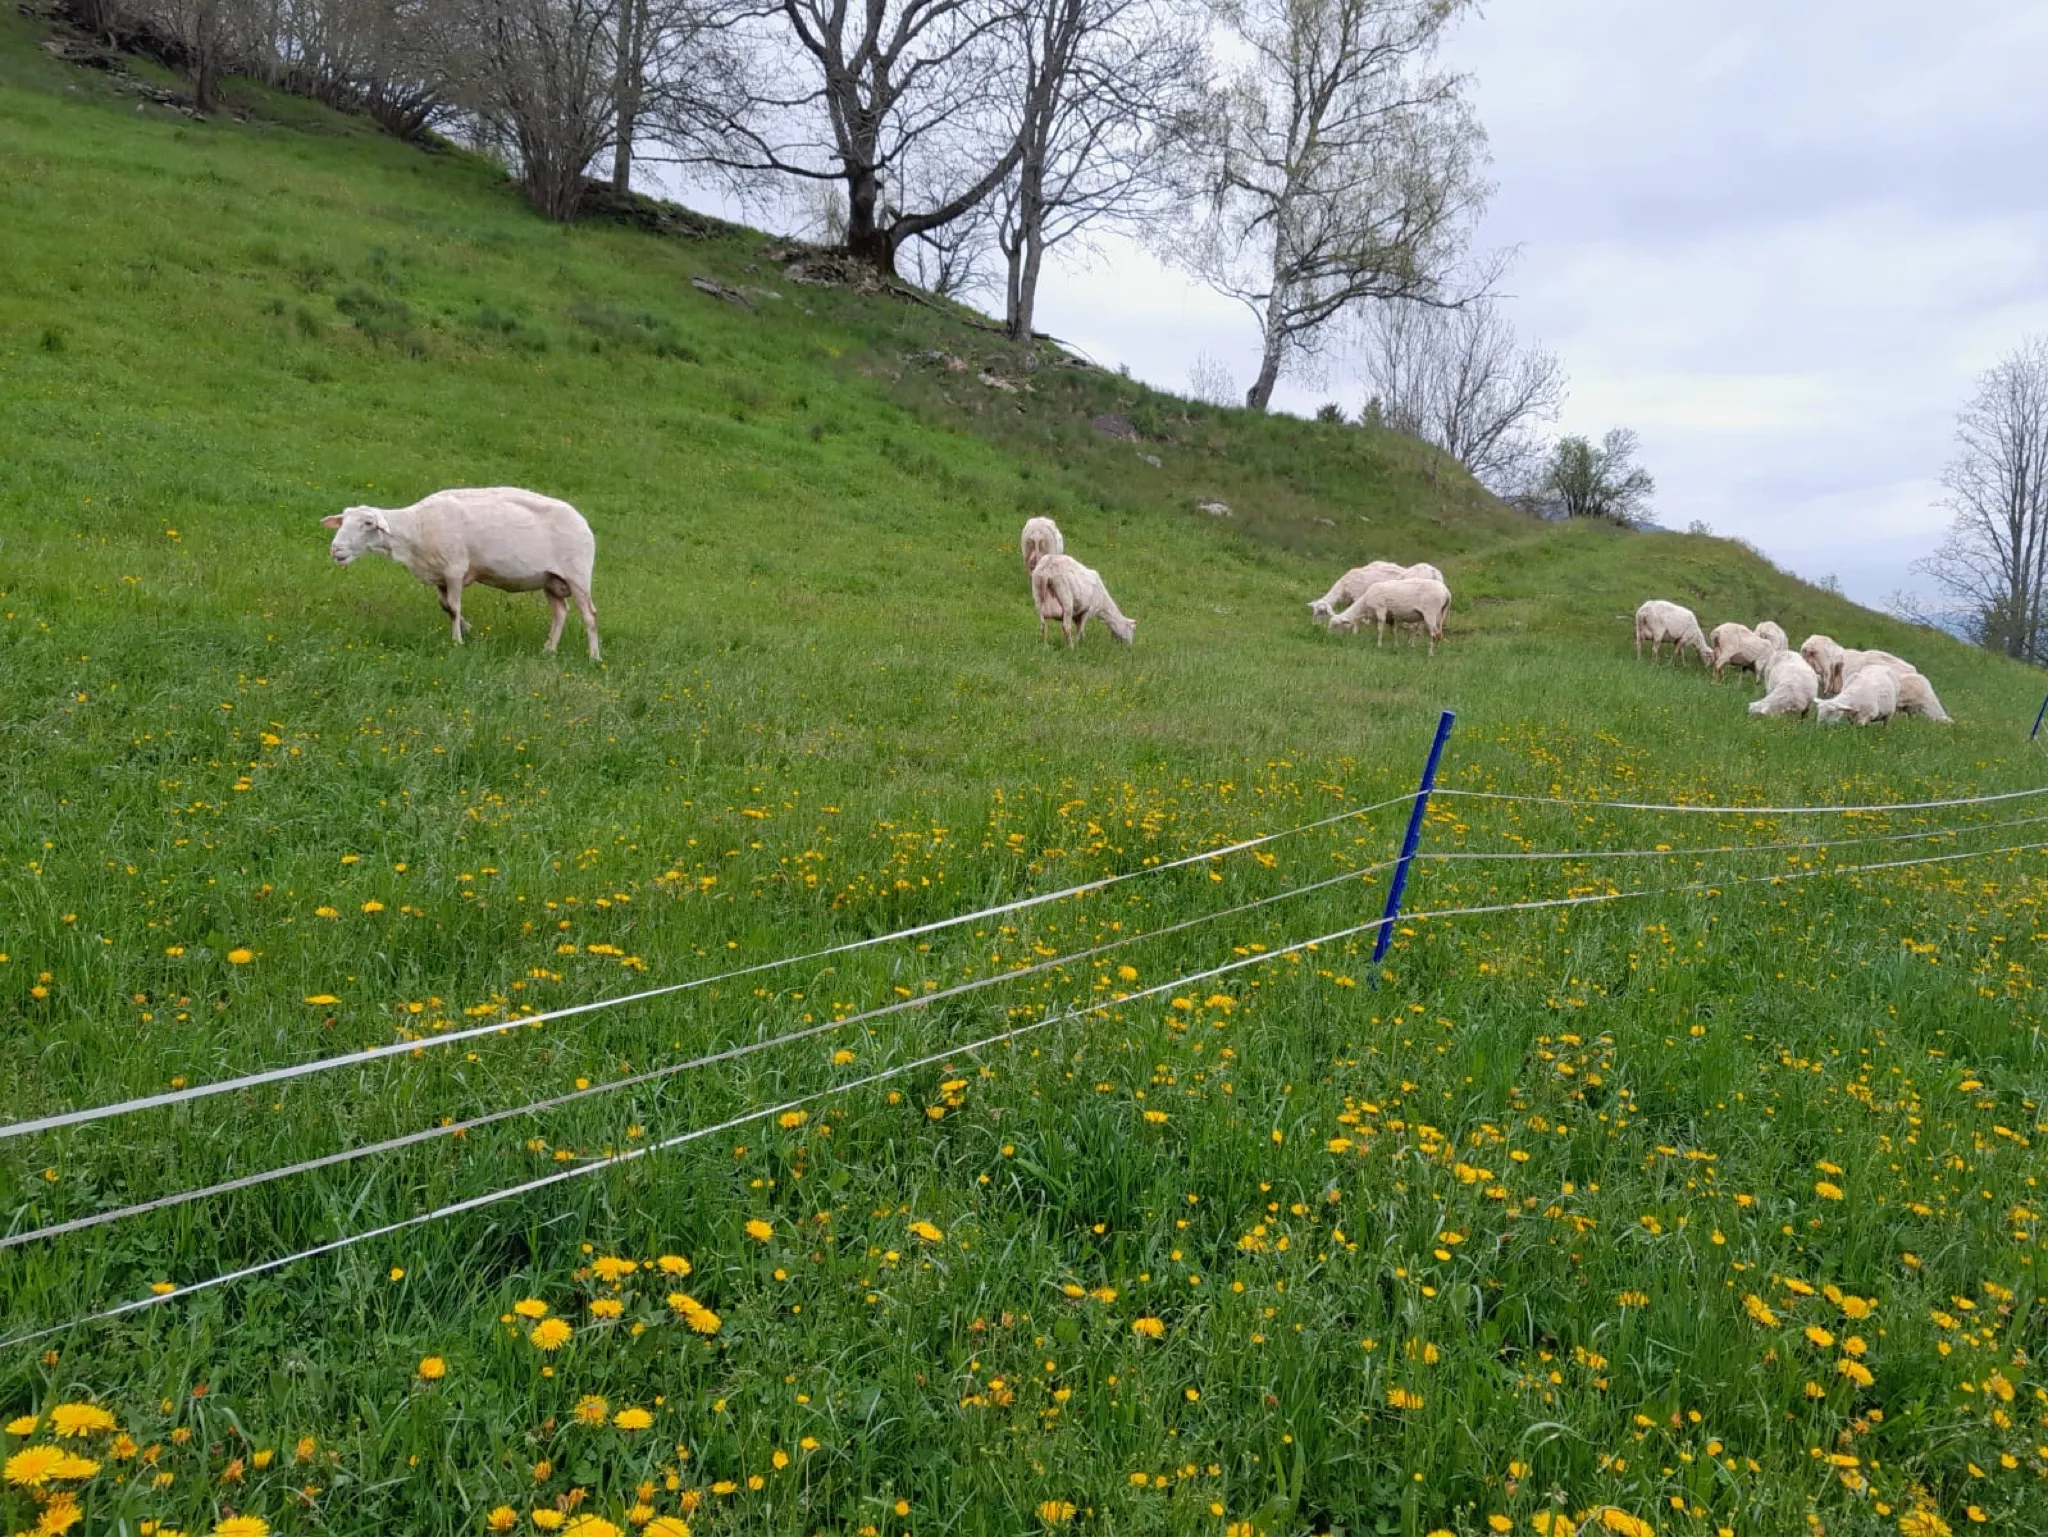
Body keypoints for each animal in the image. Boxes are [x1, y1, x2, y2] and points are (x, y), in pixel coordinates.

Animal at [323, 487, 600, 659]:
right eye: (343, 521)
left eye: (368, 523)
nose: (336, 549)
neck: (416, 529)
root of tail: (584, 523)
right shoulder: (439, 575)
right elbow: (445, 606)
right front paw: (467, 628)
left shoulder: (455, 568)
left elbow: (454, 607)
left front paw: (457, 641)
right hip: (551, 580)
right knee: (560, 613)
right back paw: (549, 650)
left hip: (577, 575)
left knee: (589, 616)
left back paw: (594, 657)